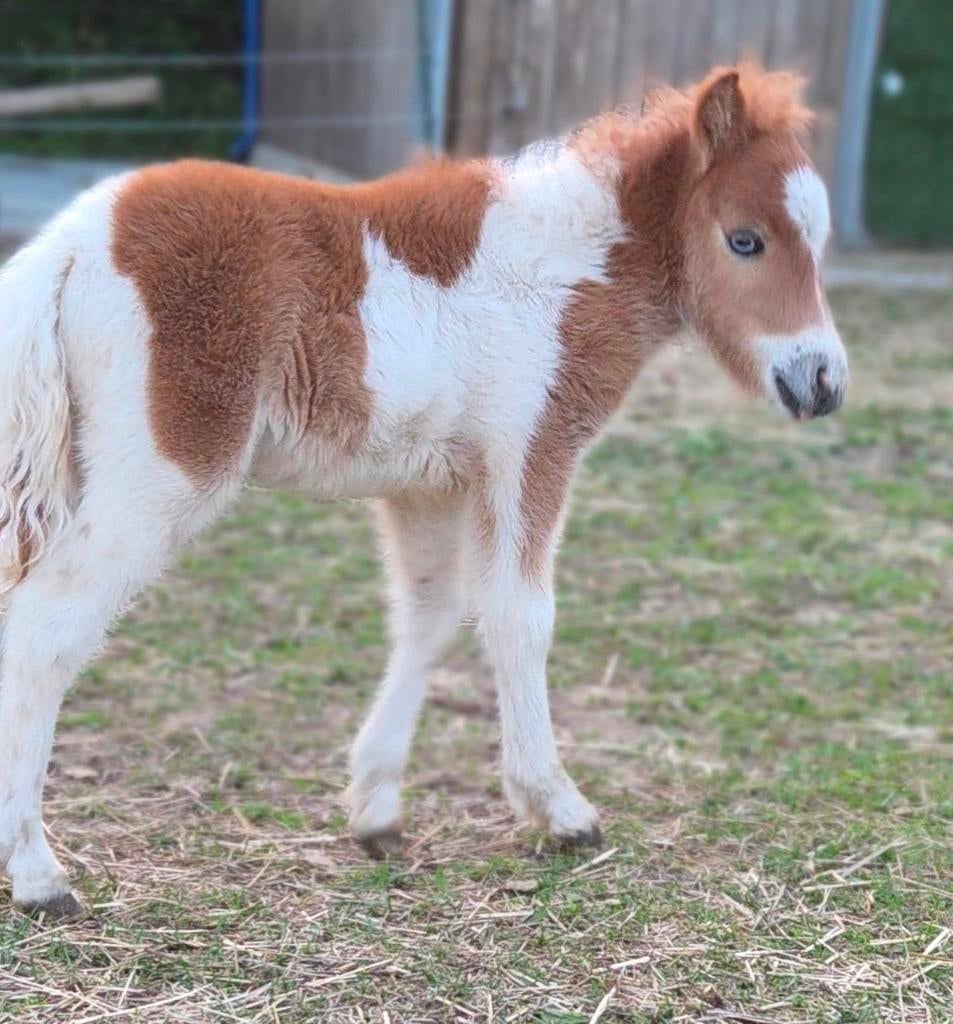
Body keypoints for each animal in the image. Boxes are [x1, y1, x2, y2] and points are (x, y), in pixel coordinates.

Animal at [0, 64, 847, 918]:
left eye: (814, 244)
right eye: (744, 239)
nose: (821, 382)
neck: (564, 274)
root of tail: (71, 242)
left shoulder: (428, 486)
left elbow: (429, 617)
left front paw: (375, 809)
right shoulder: (530, 452)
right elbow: (519, 619)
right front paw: (558, 809)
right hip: (162, 476)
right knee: (44, 632)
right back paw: (40, 874)